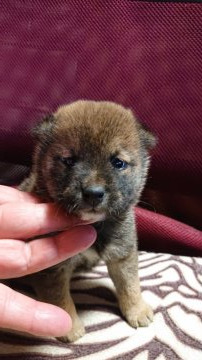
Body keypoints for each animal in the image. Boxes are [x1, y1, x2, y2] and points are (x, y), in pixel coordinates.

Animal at [19, 100, 155, 342]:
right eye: (69, 160)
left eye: (118, 163)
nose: (93, 193)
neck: (94, 225)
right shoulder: (53, 268)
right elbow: (59, 299)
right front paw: (69, 327)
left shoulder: (122, 254)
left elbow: (130, 285)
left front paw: (137, 310)